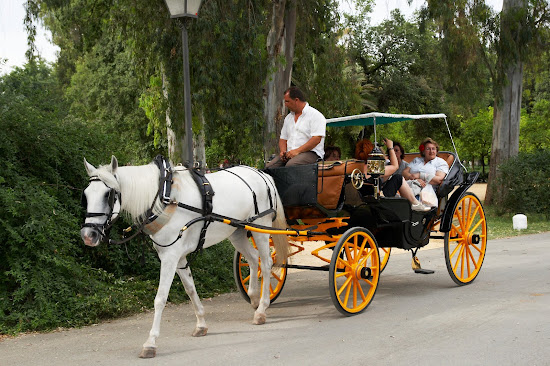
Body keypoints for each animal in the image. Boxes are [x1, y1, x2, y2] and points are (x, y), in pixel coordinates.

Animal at [81, 157, 292, 358]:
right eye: (86, 195)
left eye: (108, 195)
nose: (88, 235)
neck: (164, 198)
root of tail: (261, 174)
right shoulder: (178, 257)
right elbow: (190, 289)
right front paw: (201, 324)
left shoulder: (170, 257)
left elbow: (160, 298)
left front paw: (150, 343)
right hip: (238, 232)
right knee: (253, 258)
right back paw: (254, 298)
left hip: (261, 227)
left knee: (266, 263)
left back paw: (262, 309)